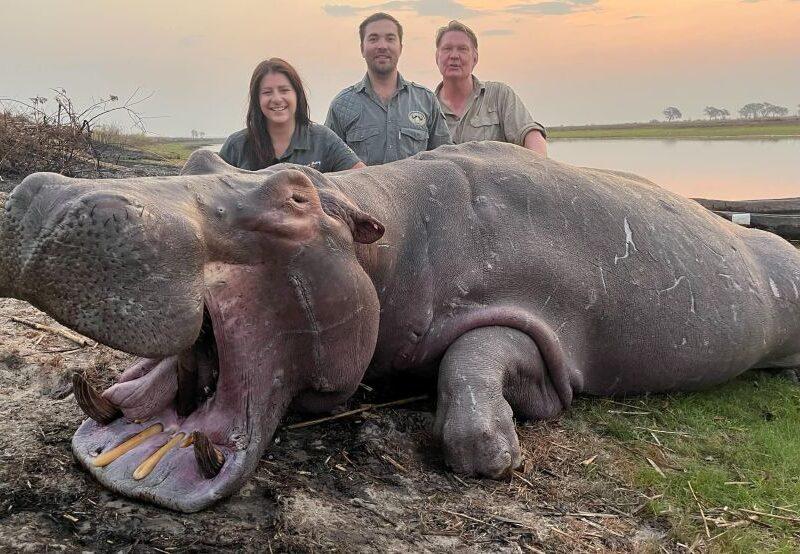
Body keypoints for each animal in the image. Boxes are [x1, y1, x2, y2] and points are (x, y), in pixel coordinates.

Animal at [0, 142, 798, 512]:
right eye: (200, 158)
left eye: (294, 195)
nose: (49, 195)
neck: (377, 232)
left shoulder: (538, 325)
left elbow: (475, 357)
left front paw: (492, 453)